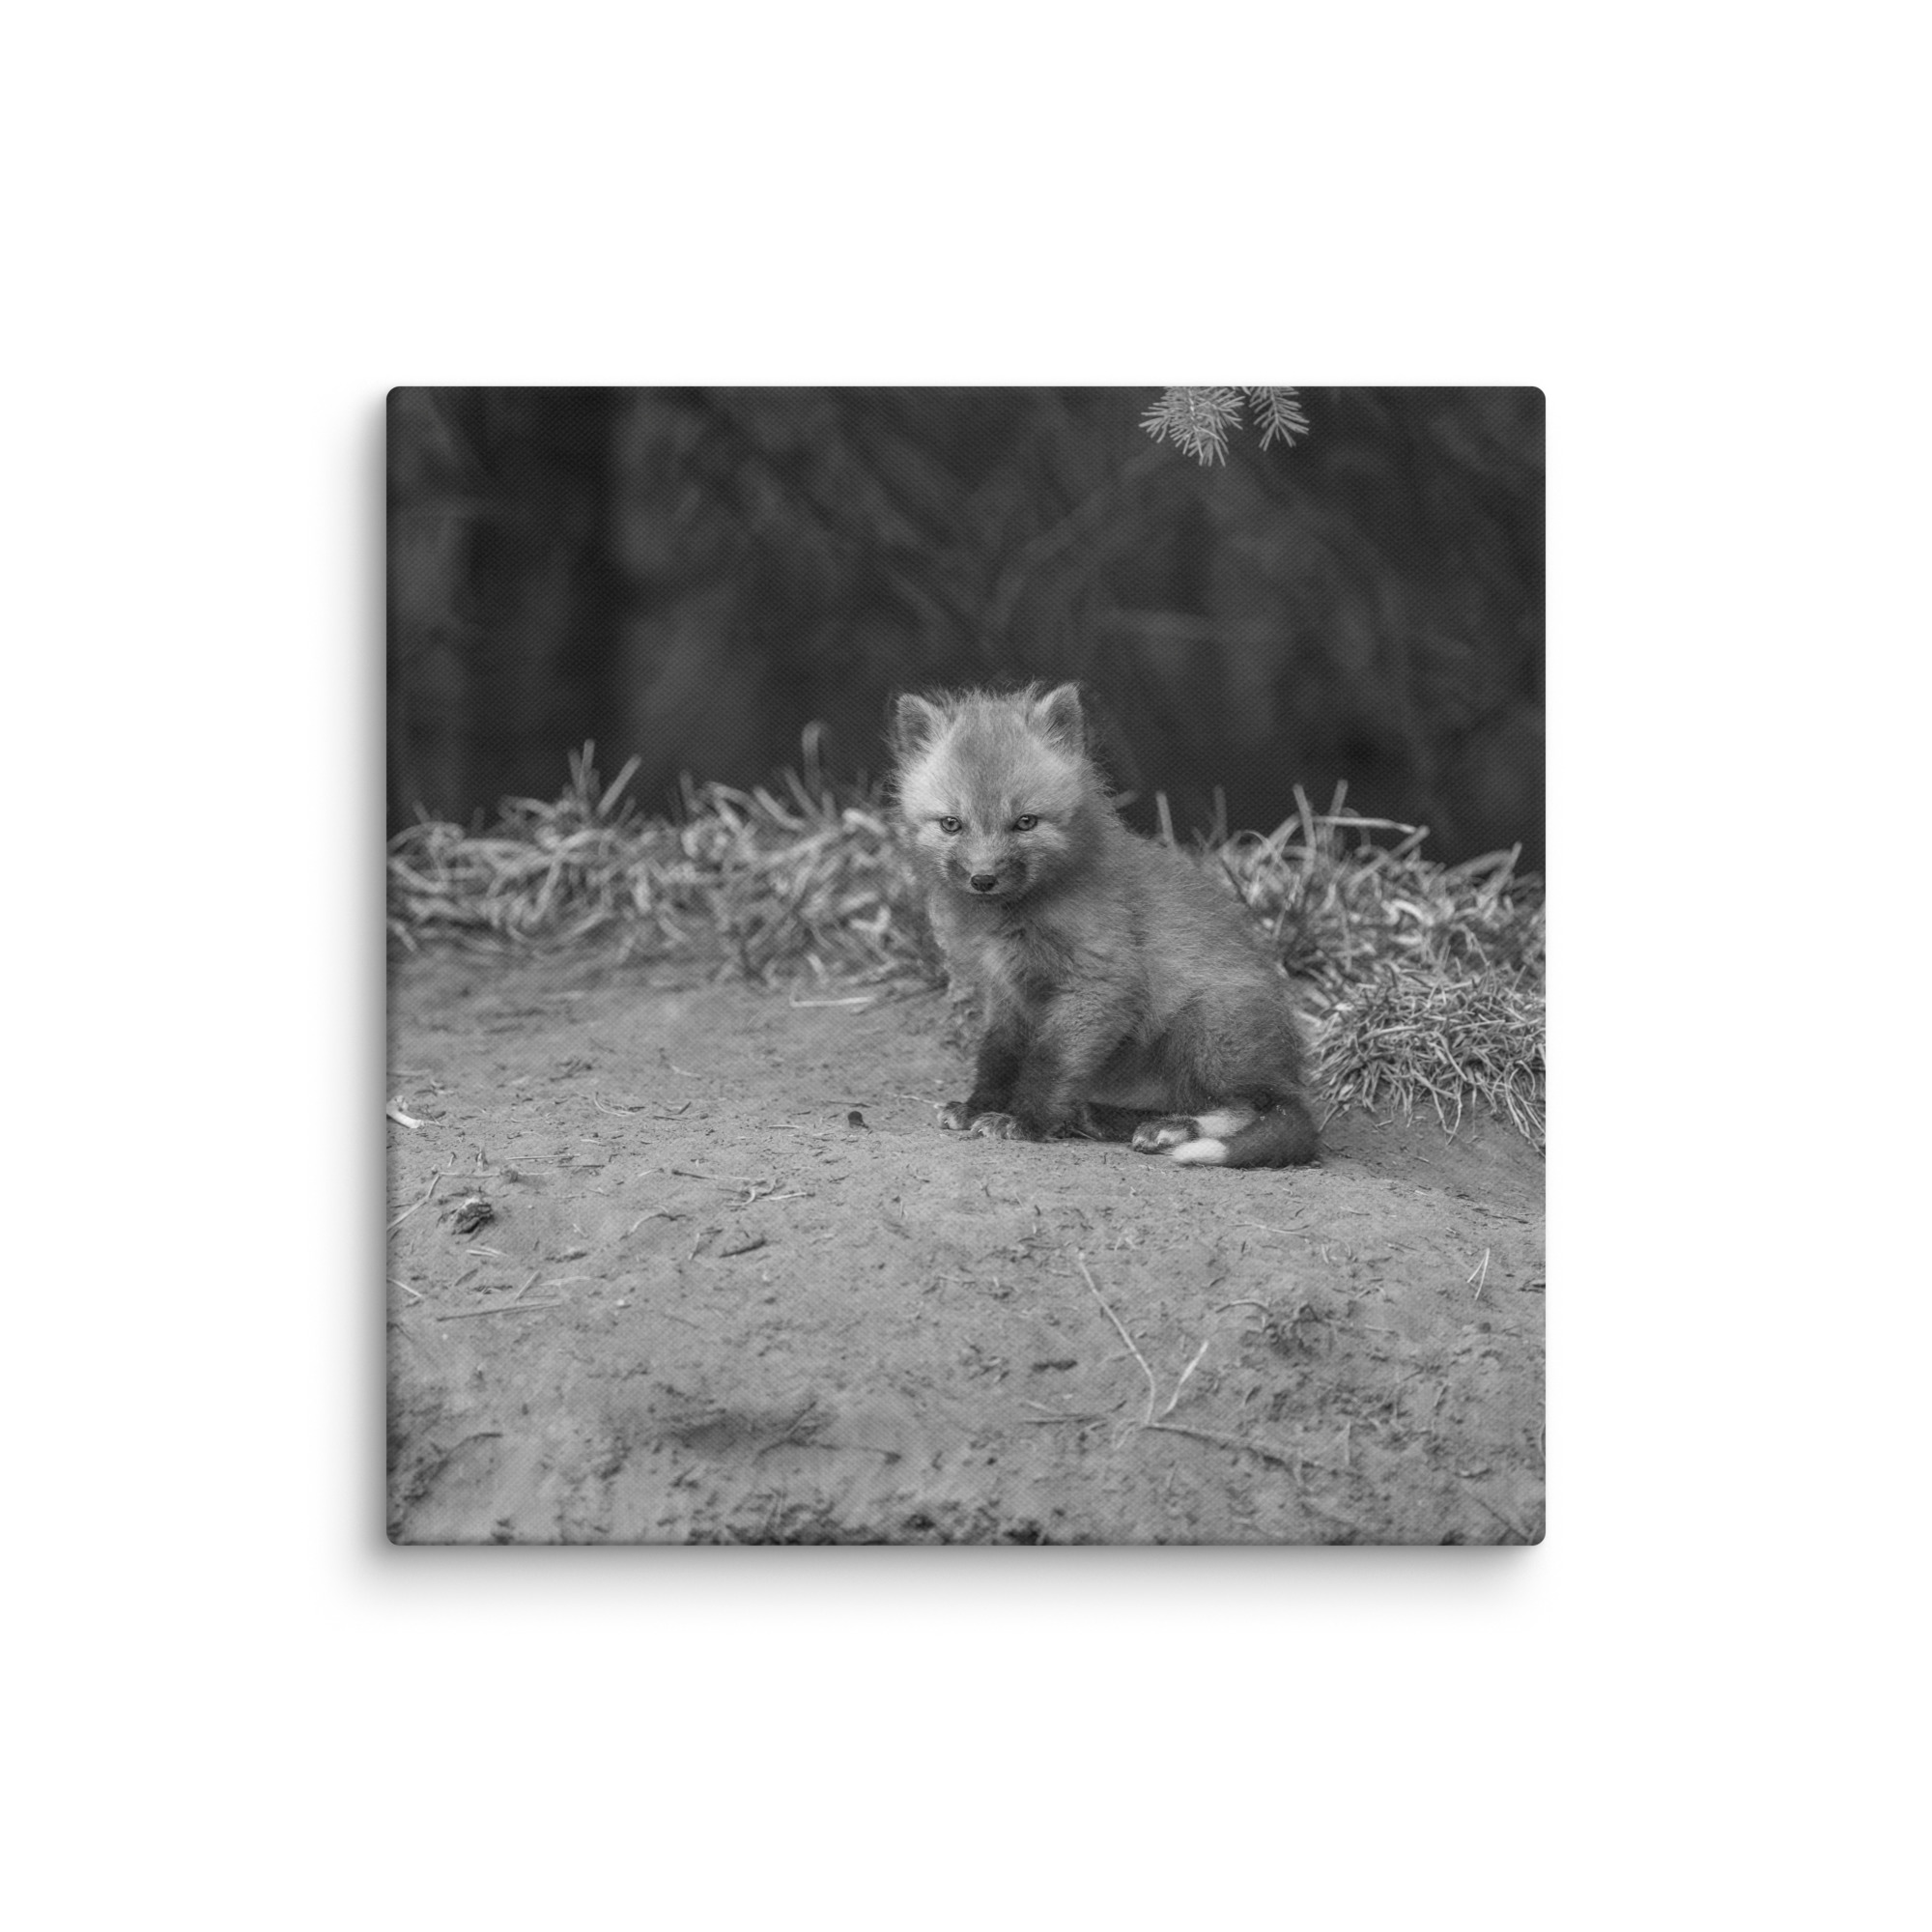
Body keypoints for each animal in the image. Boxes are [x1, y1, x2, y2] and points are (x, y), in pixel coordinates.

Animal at [892, 682, 1319, 1168]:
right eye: (951, 824)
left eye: (1025, 822)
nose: (983, 879)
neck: (1016, 920)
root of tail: (1288, 1069)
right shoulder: (1007, 991)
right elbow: (998, 1055)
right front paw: (979, 1106)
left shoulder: (1099, 983)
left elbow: (1050, 1062)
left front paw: (1024, 1121)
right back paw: (1100, 1117)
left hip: (1206, 1026)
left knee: (1259, 1107)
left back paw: (1172, 1129)